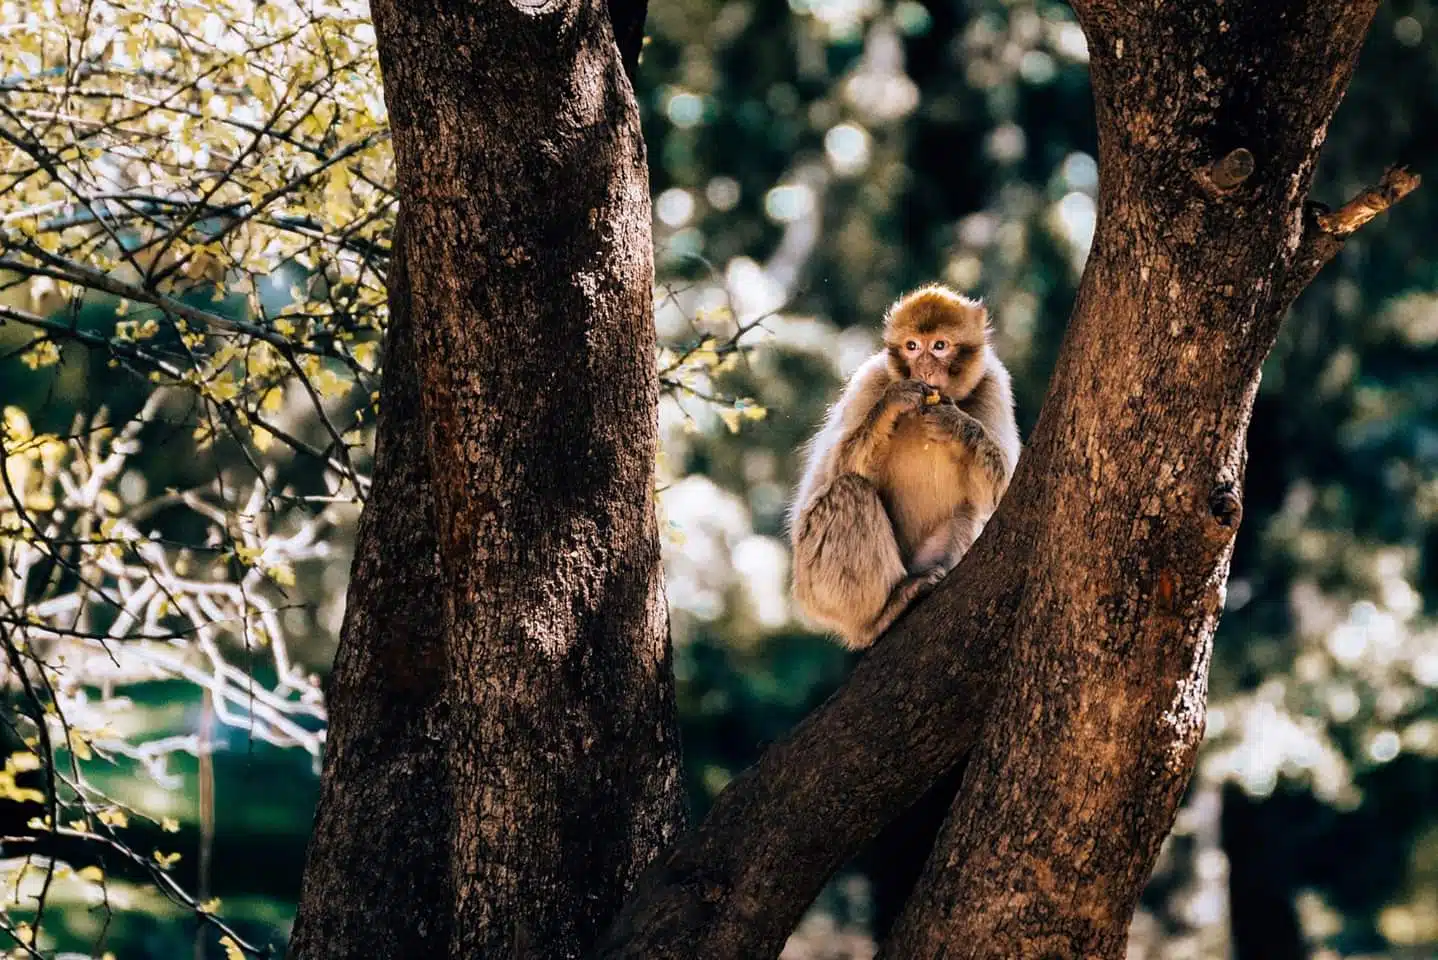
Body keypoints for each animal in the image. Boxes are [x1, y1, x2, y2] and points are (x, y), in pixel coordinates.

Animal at [788, 284, 1021, 649]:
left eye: (939, 346)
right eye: (912, 347)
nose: (924, 369)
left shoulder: (994, 384)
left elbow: (1000, 491)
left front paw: (956, 424)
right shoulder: (871, 379)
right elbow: (834, 468)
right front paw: (892, 404)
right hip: (815, 584)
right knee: (848, 489)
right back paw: (882, 612)